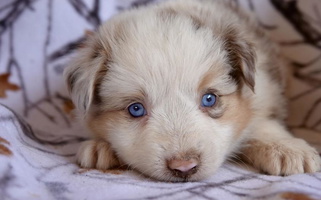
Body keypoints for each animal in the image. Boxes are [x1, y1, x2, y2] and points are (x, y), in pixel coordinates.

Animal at [63, 0, 318, 181]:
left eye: (209, 99)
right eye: (135, 109)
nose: (184, 167)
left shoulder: (264, 93)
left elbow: (261, 124)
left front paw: (287, 149)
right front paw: (100, 146)